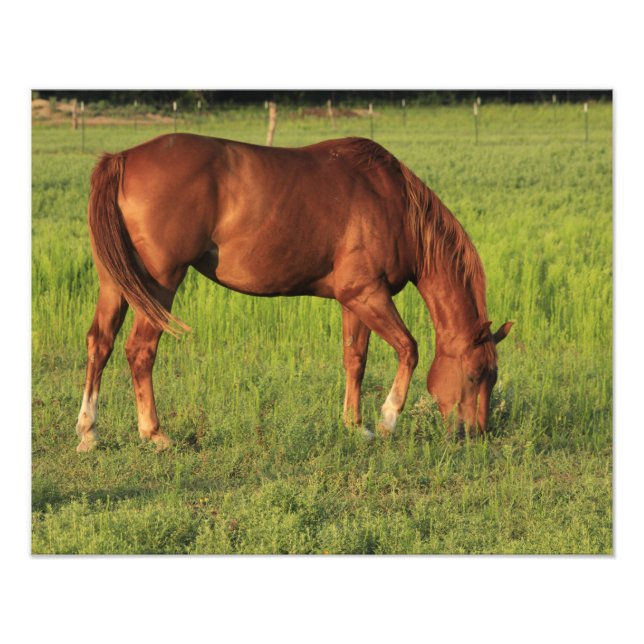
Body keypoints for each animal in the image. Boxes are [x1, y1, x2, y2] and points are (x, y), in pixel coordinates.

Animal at [75, 134, 512, 452]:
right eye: (475, 374)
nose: (477, 434)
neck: (396, 205)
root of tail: (122, 159)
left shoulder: (355, 300)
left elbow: (355, 360)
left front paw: (354, 426)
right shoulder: (367, 294)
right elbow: (409, 349)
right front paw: (387, 420)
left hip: (115, 284)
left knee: (101, 343)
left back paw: (88, 432)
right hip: (160, 285)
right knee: (140, 351)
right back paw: (154, 433)